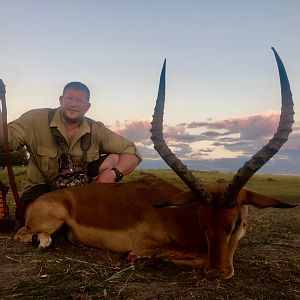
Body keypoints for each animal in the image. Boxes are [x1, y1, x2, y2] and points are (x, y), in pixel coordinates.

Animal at [14, 48, 296, 280]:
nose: (217, 272)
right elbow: (191, 255)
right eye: (202, 219)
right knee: (22, 235)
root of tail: (53, 196)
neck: (178, 215)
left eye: (237, 222)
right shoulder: (147, 244)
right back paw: (44, 242)